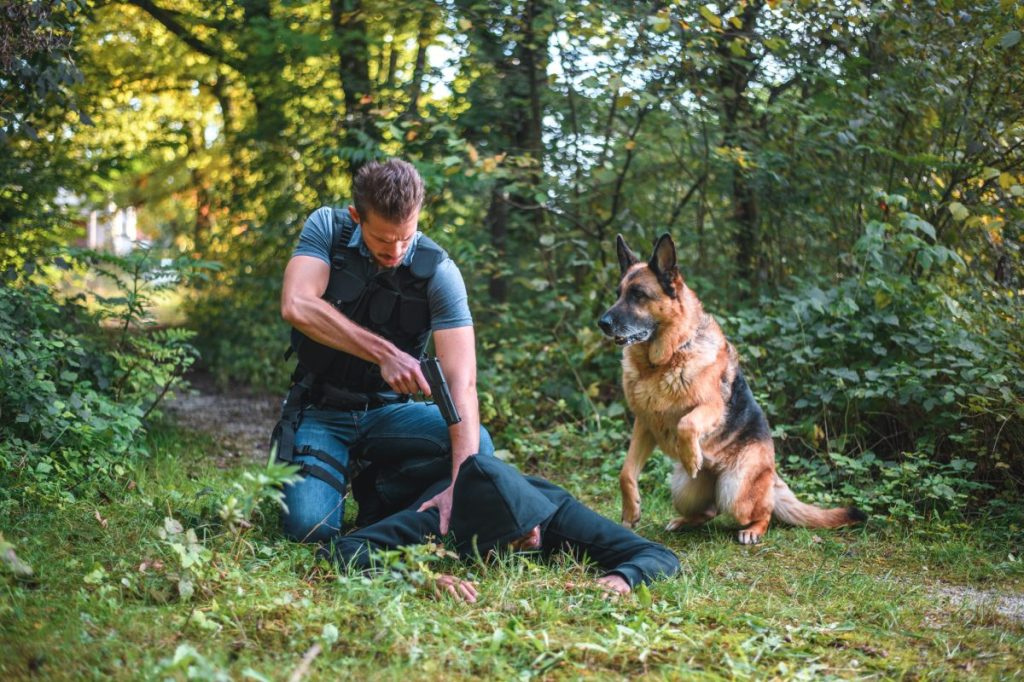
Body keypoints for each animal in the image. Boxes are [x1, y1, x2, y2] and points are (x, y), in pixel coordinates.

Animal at [598, 233, 864, 540]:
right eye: (618, 293)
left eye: (638, 295)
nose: (602, 323)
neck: (663, 362)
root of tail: (772, 476)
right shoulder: (645, 424)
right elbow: (626, 471)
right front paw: (631, 511)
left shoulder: (712, 408)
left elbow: (686, 423)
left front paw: (691, 457)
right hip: (681, 490)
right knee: (710, 511)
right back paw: (683, 520)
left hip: (734, 490)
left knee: (763, 512)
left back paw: (753, 530)